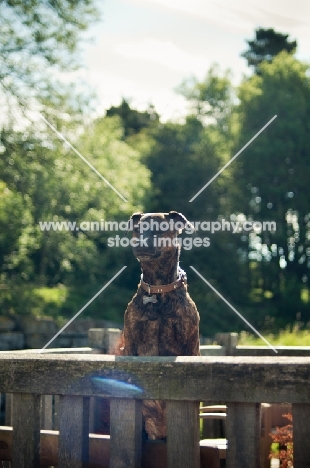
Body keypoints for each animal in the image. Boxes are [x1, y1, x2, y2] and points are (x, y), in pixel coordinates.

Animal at [120, 211, 200, 438]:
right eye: (137, 229)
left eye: (159, 229)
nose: (140, 243)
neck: (158, 290)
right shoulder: (130, 343)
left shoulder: (190, 345)